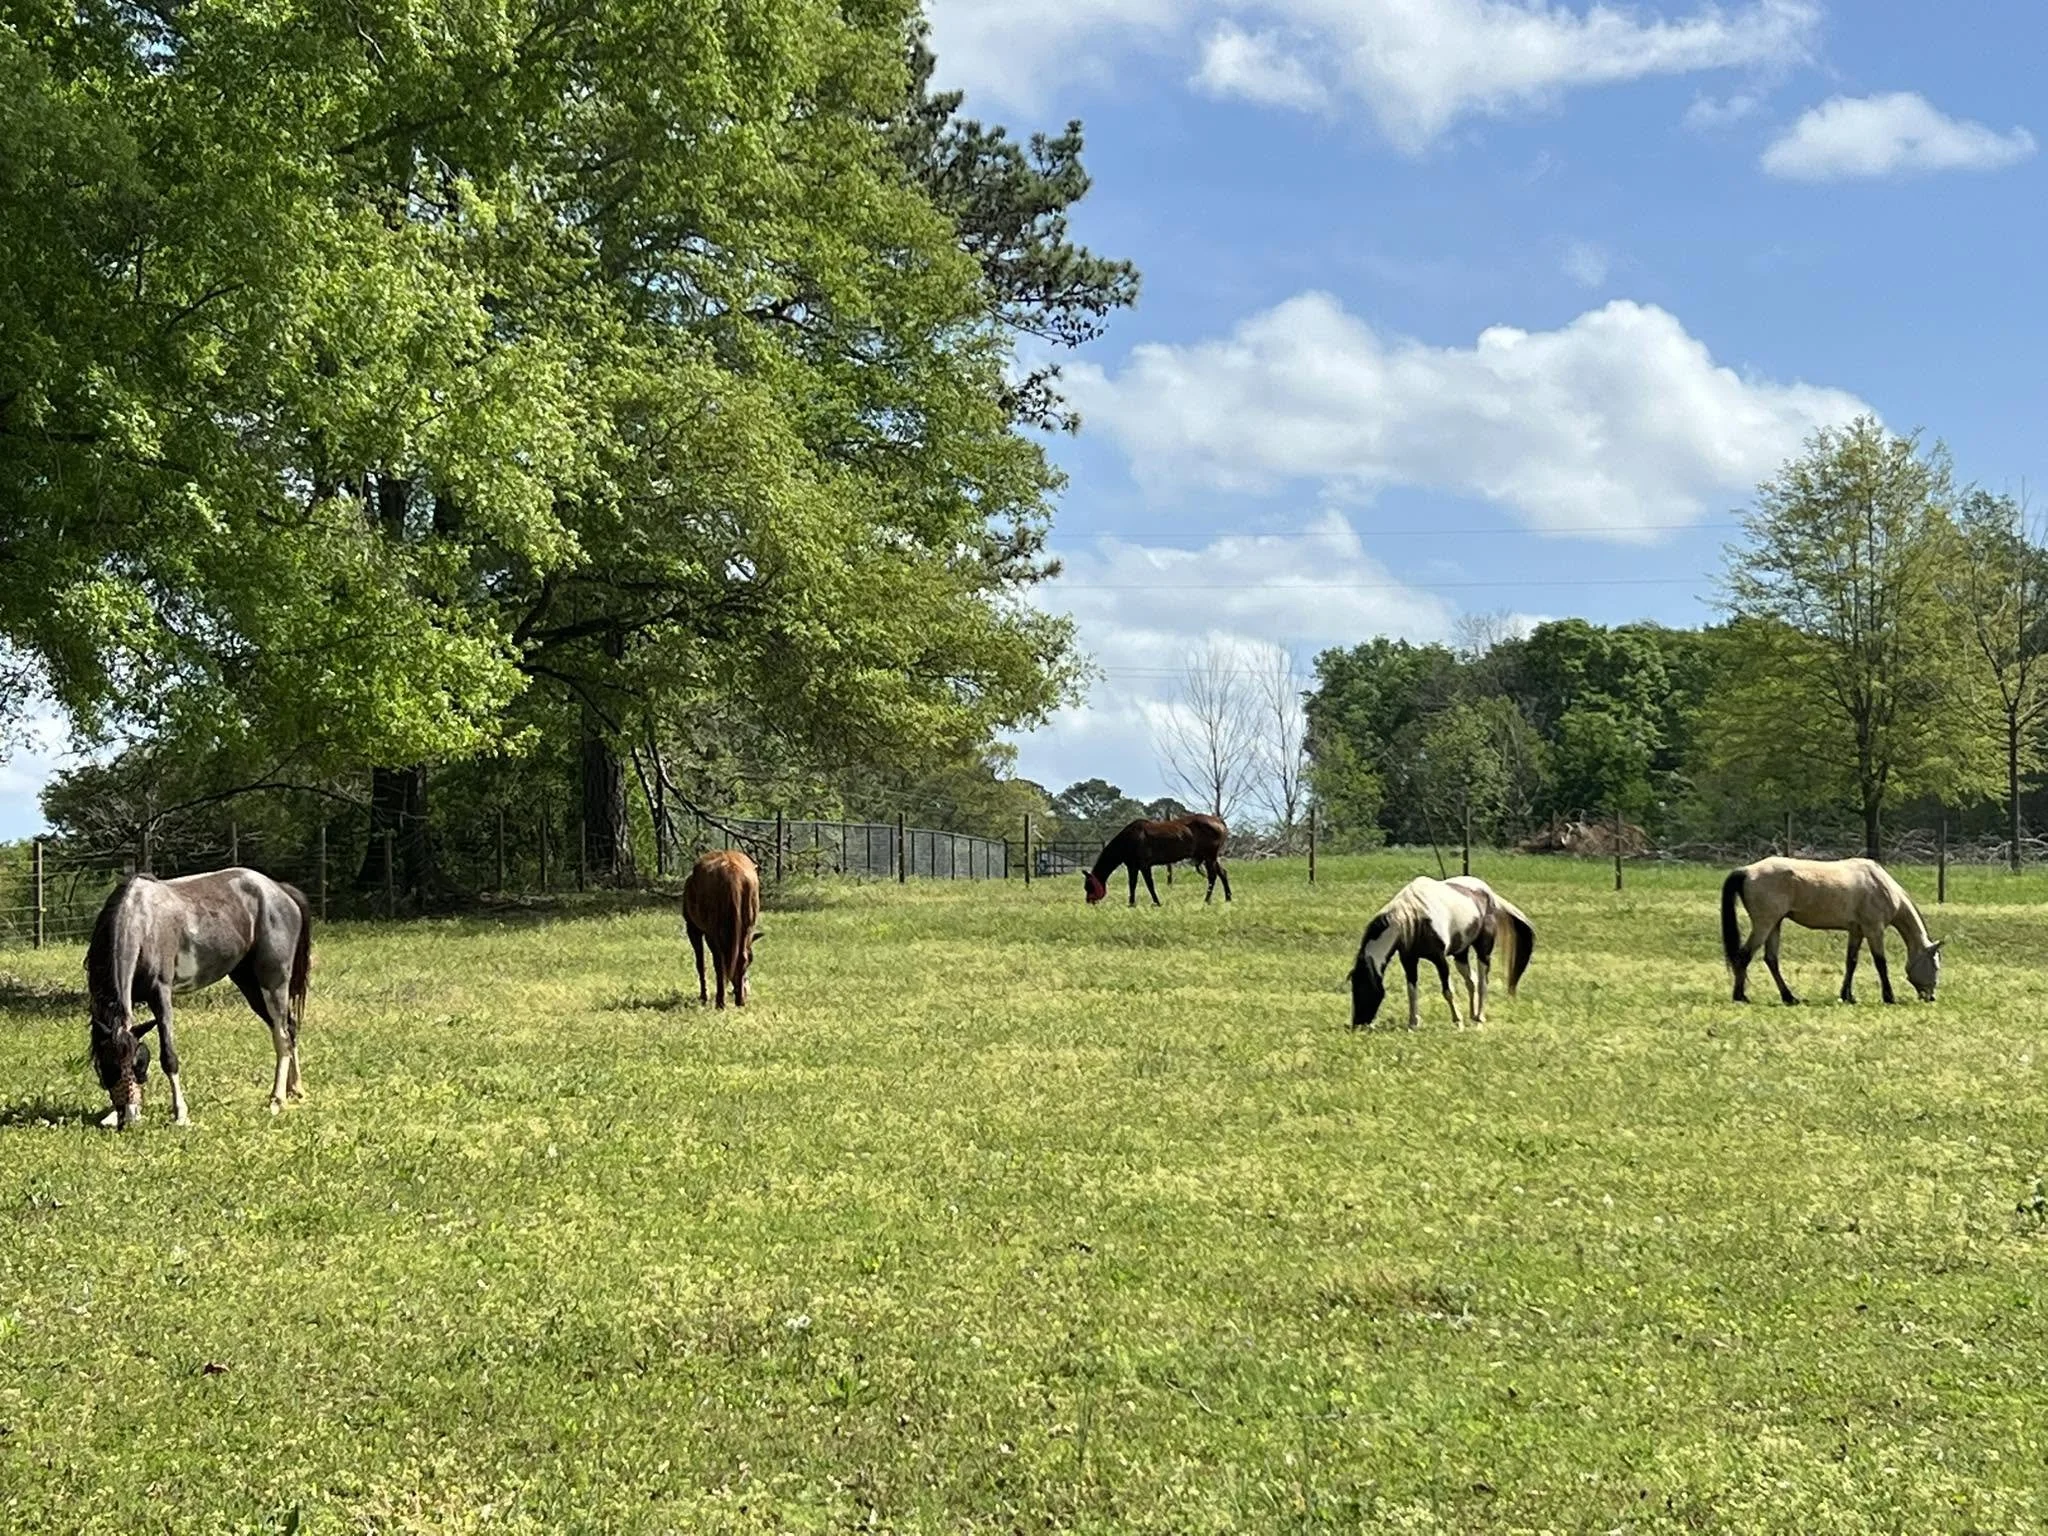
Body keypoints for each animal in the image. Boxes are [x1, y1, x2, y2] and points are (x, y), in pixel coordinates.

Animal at [85, 868, 312, 1129]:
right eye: (107, 1068)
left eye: (139, 1064)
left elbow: (169, 1057)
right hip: (249, 983)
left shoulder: (160, 995)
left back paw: (277, 1099)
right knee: (290, 1028)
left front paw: (181, 1115)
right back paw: (296, 1089)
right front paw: (112, 1115)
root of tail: (281, 890)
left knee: (281, 1036)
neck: (140, 922)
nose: (130, 1117)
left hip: (274, 982)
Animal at [683, 850, 760, 1008]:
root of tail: (733, 875)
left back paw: (720, 1001)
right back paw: (739, 1001)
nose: (745, 990)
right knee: (739, 956)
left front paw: (704, 996)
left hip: (712, 928)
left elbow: (701, 963)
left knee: (719, 962)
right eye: (751, 962)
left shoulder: (692, 927)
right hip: (748, 925)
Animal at [1084, 815, 1231, 907]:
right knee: (1223, 873)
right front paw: (1131, 903)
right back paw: (1228, 898)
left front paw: (1157, 902)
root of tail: (1219, 820)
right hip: (1211, 857)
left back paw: (1206, 900)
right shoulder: (1132, 866)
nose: (1089, 902)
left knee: (1212, 876)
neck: (1127, 840)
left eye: (1088, 886)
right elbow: (1132, 884)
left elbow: (1149, 884)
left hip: (1209, 856)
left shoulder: (1144, 865)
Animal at [1349, 875, 1533, 1029]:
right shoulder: (1409, 960)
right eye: (1354, 989)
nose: (1358, 1024)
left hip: (1483, 950)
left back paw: (1480, 1017)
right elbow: (1411, 990)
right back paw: (1472, 1015)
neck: (1414, 920)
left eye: (1363, 989)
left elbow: (1447, 991)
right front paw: (1413, 1023)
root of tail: (1489, 894)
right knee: (1471, 981)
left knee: (1482, 981)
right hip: (1460, 953)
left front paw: (1457, 1022)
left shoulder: (1439, 959)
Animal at [1721, 856, 1941, 1005]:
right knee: (1744, 956)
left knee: (1771, 960)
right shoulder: (1874, 930)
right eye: (1935, 966)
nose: (1931, 997)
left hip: (1774, 924)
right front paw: (1889, 997)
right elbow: (1881, 964)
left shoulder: (1857, 931)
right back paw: (1741, 996)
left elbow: (1851, 962)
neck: (1880, 885)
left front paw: (1847, 996)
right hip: (1764, 924)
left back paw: (1789, 997)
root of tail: (1746, 870)